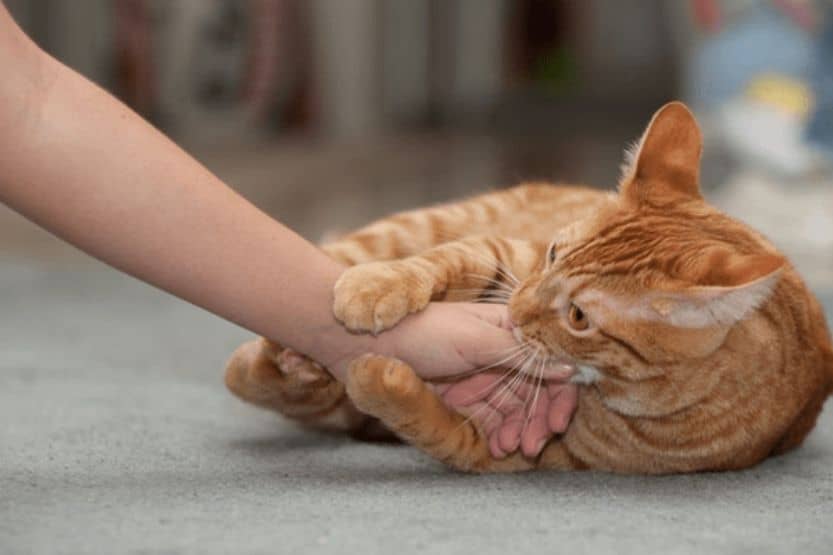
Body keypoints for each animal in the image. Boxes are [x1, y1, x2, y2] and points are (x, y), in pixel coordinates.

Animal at [224, 103, 828, 474]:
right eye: (555, 252)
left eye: (579, 317)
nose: (513, 316)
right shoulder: (512, 259)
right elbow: (446, 261)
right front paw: (379, 286)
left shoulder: (502, 450)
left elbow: (417, 415)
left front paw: (377, 376)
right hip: (411, 226)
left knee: (268, 384)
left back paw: (299, 365)